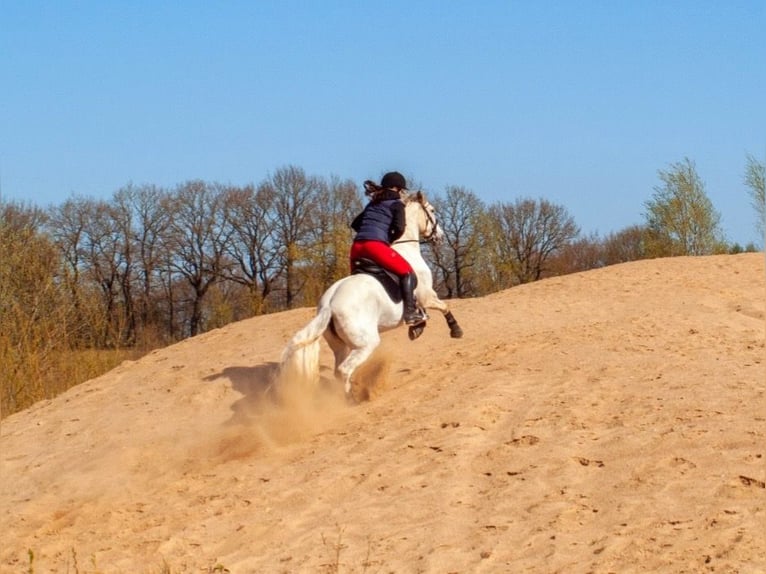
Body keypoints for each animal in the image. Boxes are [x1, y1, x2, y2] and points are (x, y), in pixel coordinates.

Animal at [280, 191, 463, 398]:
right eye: (432, 210)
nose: (440, 236)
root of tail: (329, 305)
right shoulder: (427, 295)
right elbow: (444, 306)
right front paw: (455, 330)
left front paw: (417, 327)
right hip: (366, 343)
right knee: (344, 370)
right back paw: (349, 399)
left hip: (342, 345)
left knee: (339, 370)